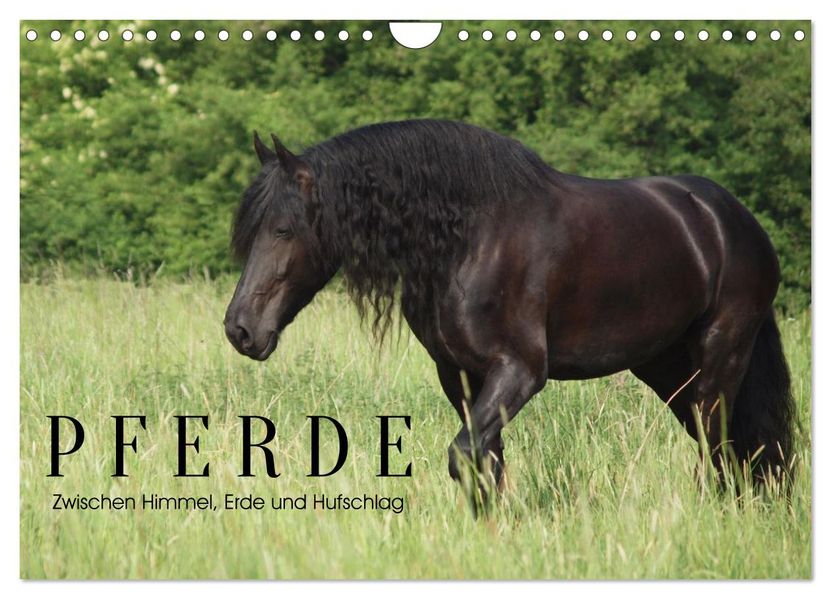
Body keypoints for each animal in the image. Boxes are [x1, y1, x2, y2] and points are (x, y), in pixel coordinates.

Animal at [224, 119, 794, 507]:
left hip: (720, 359)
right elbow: (485, 463)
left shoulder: (519, 371)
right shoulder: (462, 376)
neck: (469, 240)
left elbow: (464, 456)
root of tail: (732, 220)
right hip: (668, 368)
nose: (240, 329)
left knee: (721, 447)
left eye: (283, 230)